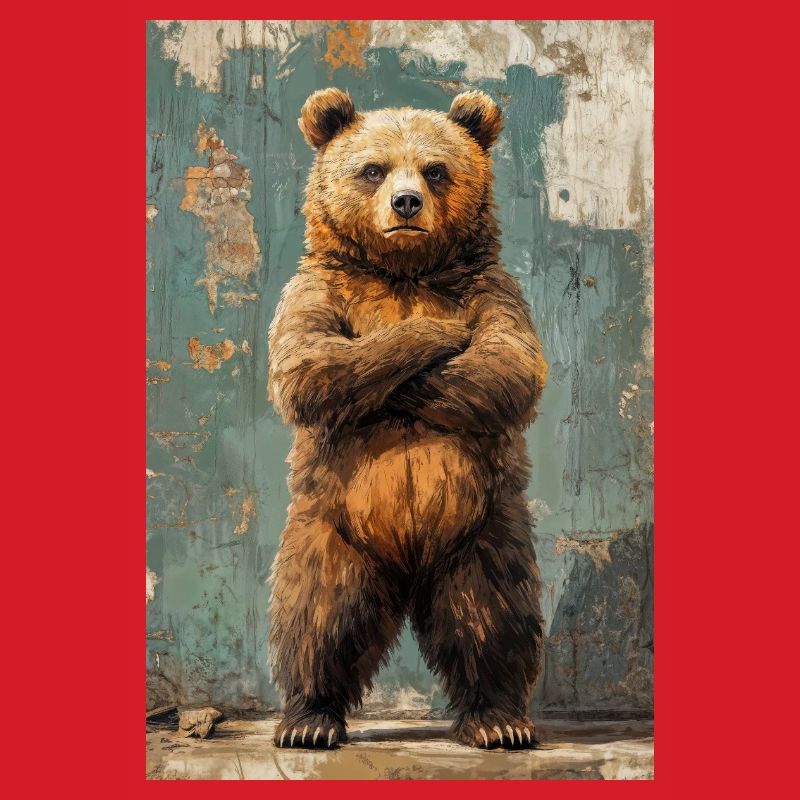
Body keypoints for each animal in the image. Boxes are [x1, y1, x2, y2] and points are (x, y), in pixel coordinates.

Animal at [267, 87, 547, 750]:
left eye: (435, 169)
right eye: (372, 168)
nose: (406, 202)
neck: (403, 270)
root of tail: (409, 570)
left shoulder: (495, 290)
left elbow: (507, 364)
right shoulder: (317, 290)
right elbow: (308, 363)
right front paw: (431, 333)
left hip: (484, 531)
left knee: (492, 615)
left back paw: (498, 719)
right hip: (331, 531)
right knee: (317, 614)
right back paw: (309, 718)